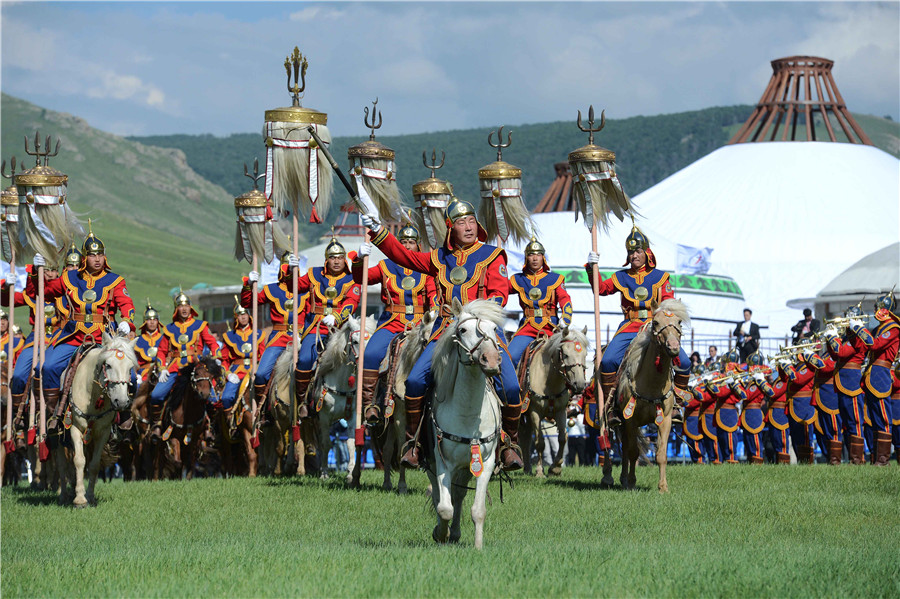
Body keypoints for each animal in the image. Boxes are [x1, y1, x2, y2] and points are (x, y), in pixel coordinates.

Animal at [58, 332, 137, 506]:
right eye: (108, 365)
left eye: (130, 368)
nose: (122, 402)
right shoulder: (75, 428)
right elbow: (79, 460)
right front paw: (80, 499)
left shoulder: (103, 432)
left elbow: (94, 465)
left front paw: (90, 497)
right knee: (64, 464)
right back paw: (65, 493)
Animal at [312, 316, 376, 486]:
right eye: (355, 341)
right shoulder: (323, 416)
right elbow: (326, 443)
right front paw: (324, 474)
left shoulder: (353, 416)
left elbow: (351, 443)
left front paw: (351, 474)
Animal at [428, 302, 506, 552]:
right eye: (463, 330)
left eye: (494, 328)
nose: (491, 359)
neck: (469, 415)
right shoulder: (443, 461)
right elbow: (444, 507)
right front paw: (440, 534)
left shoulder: (486, 463)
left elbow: (477, 510)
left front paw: (478, 546)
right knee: (439, 495)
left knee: (459, 494)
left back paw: (455, 533)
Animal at [520, 328, 592, 478]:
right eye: (565, 354)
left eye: (585, 354)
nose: (579, 385)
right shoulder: (535, 412)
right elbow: (540, 442)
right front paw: (540, 471)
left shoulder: (560, 411)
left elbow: (563, 438)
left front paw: (555, 468)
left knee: (525, 437)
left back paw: (527, 468)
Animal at [604, 298, 688, 492]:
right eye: (656, 323)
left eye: (679, 322)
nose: (673, 347)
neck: (651, 383)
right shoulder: (630, 420)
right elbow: (633, 452)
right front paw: (632, 482)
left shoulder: (665, 419)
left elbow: (661, 454)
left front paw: (663, 487)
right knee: (625, 448)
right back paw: (618, 478)